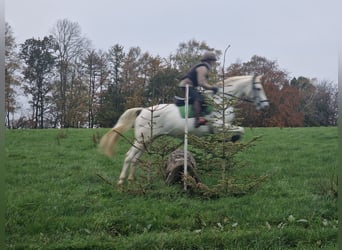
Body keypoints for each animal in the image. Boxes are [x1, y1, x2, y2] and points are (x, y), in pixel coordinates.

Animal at [99, 74, 270, 184]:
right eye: (258, 88)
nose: (265, 106)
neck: (221, 100)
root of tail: (143, 110)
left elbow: (238, 130)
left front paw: (230, 140)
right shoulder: (219, 126)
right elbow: (240, 129)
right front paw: (234, 138)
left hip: (148, 139)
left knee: (135, 158)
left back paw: (131, 179)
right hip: (142, 138)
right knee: (129, 156)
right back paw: (121, 181)